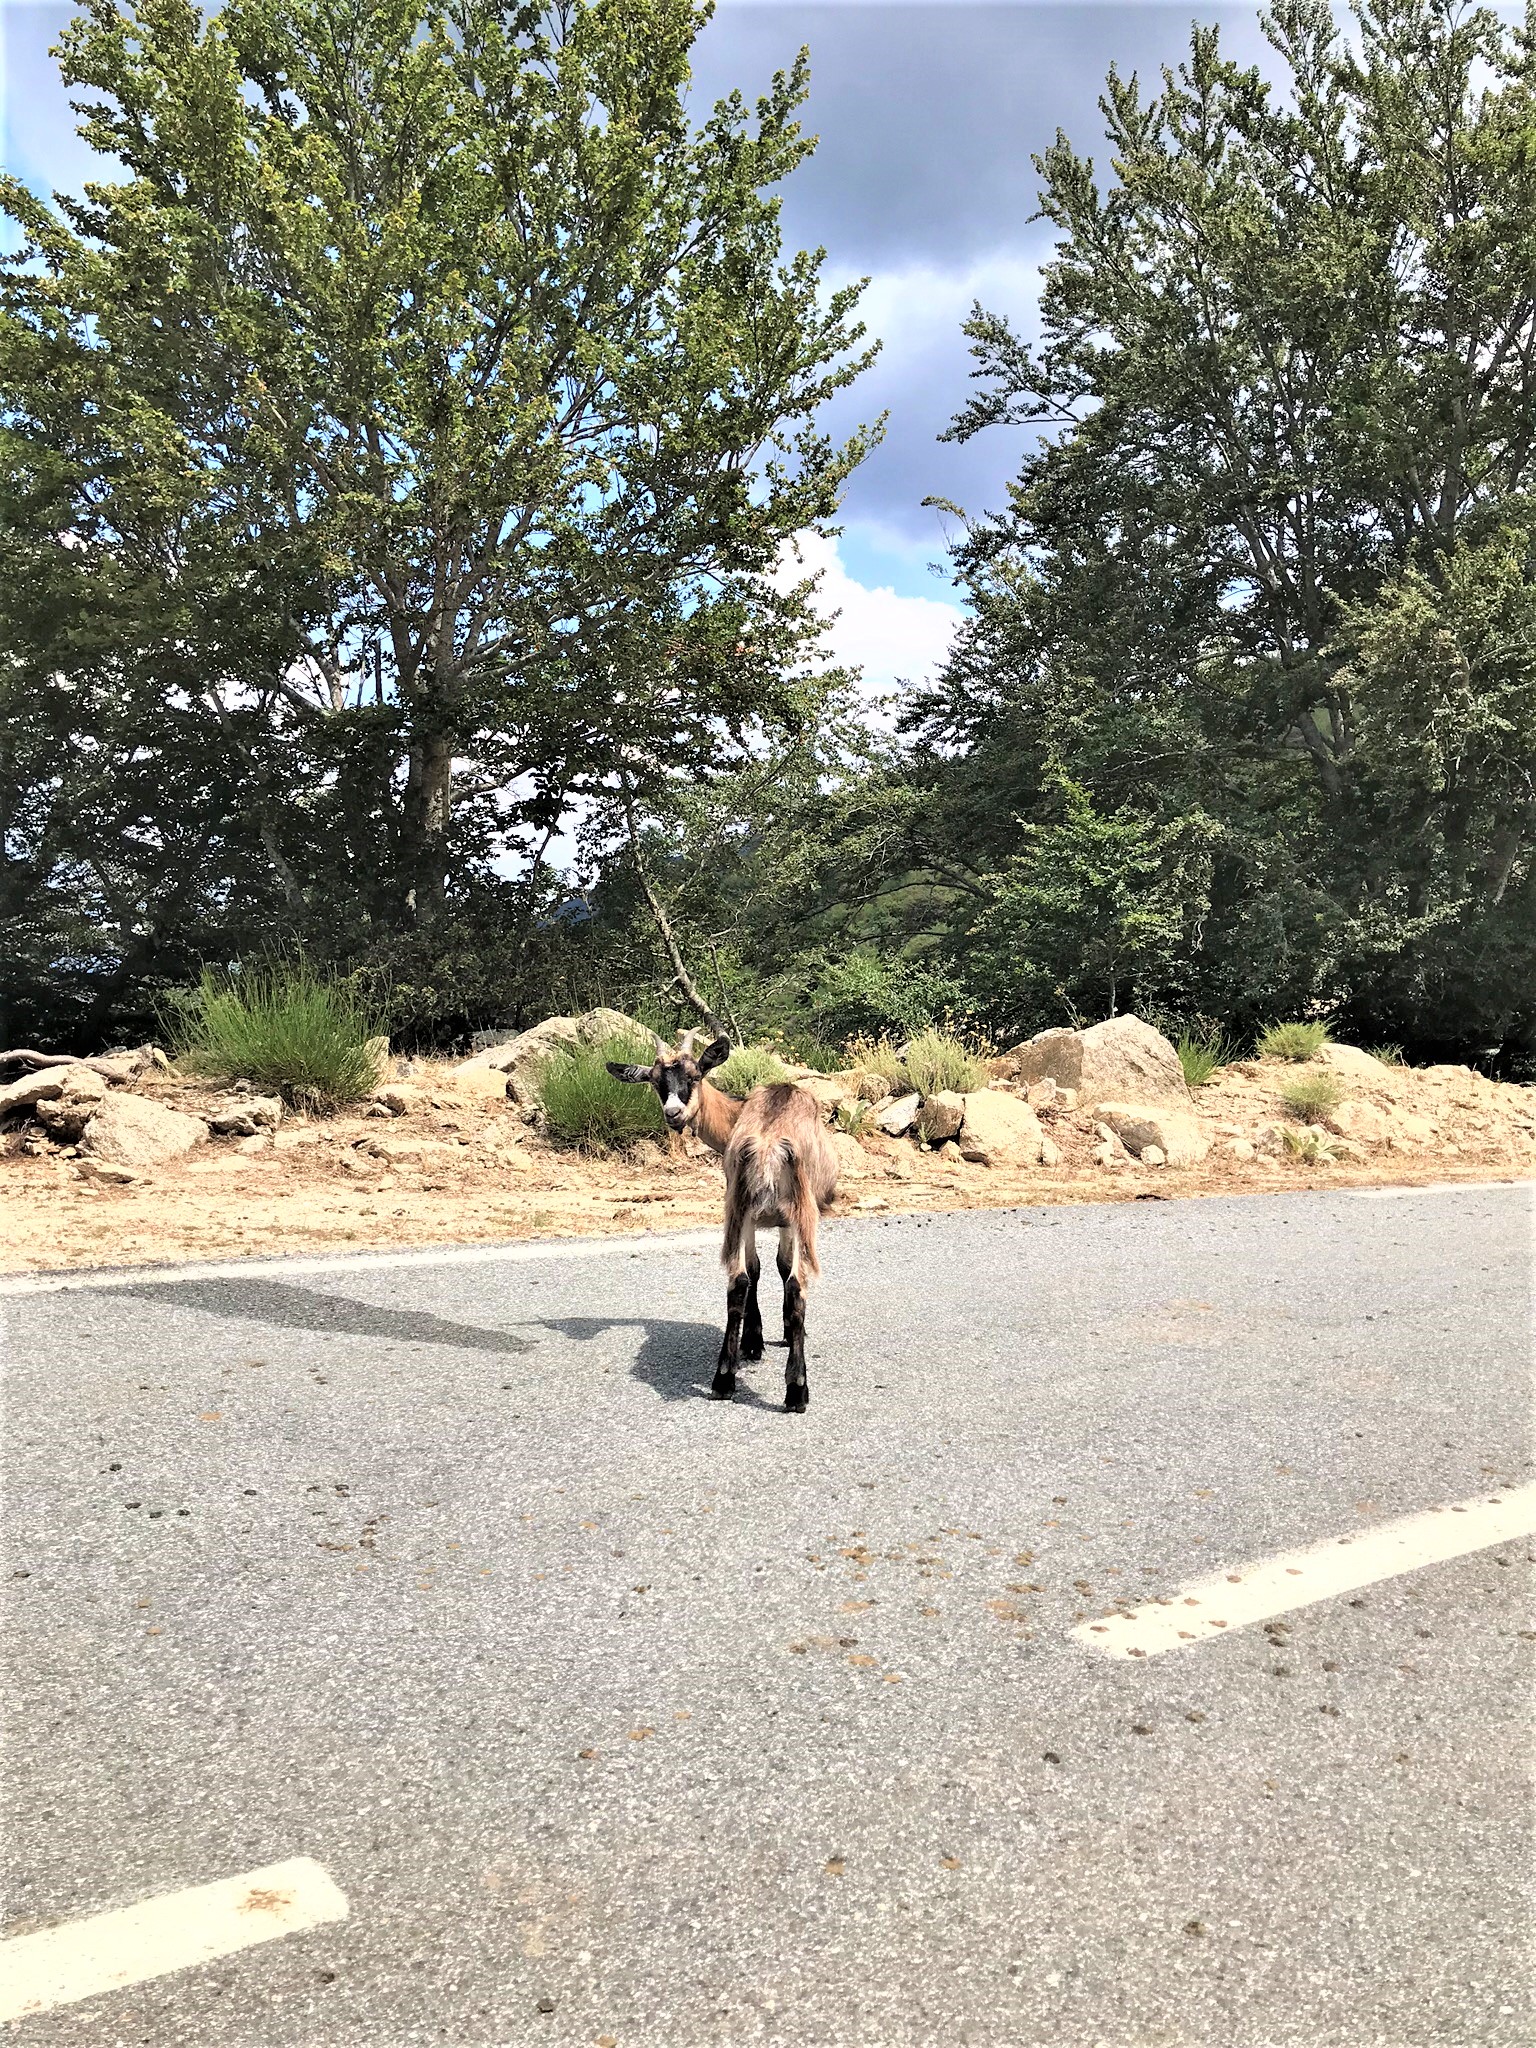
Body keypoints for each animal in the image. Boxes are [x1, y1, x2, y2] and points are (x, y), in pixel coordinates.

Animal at [607, 1034, 838, 1411]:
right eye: (655, 1082)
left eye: (694, 1076)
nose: (673, 1114)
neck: (737, 1114)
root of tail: (767, 1147)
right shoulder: (786, 1220)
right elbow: (777, 1267)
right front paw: (770, 1338)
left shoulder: (753, 1217)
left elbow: (755, 1270)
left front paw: (752, 1343)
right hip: (798, 1214)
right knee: (794, 1284)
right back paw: (796, 1390)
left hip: (739, 1210)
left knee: (738, 1282)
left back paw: (724, 1379)